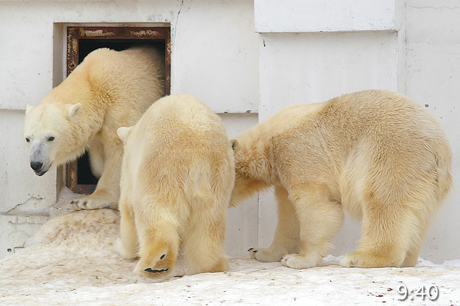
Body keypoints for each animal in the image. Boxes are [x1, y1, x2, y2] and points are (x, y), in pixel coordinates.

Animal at [22, 45, 165, 210]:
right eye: (27, 139)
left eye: (51, 137)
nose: (36, 164)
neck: (93, 84)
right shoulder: (97, 125)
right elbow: (97, 156)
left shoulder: (121, 106)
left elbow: (120, 149)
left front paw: (88, 200)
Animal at [113, 94, 235, 278]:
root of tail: (198, 155)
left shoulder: (130, 168)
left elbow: (127, 209)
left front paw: (122, 247)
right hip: (219, 180)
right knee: (209, 225)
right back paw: (210, 267)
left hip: (162, 169)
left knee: (152, 211)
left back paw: (155, 265)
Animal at [230, 89, 452, 268]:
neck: (266, 146)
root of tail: (440, 149)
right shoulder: (283, 176)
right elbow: (289, 215)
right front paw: (261, 251)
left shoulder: (299, 154)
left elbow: (317, 207)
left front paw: (299, 259)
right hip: (432, 184)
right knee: (418, 217)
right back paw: (408, 259)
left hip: (393, 154)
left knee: (383, 201)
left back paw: (360, 257)